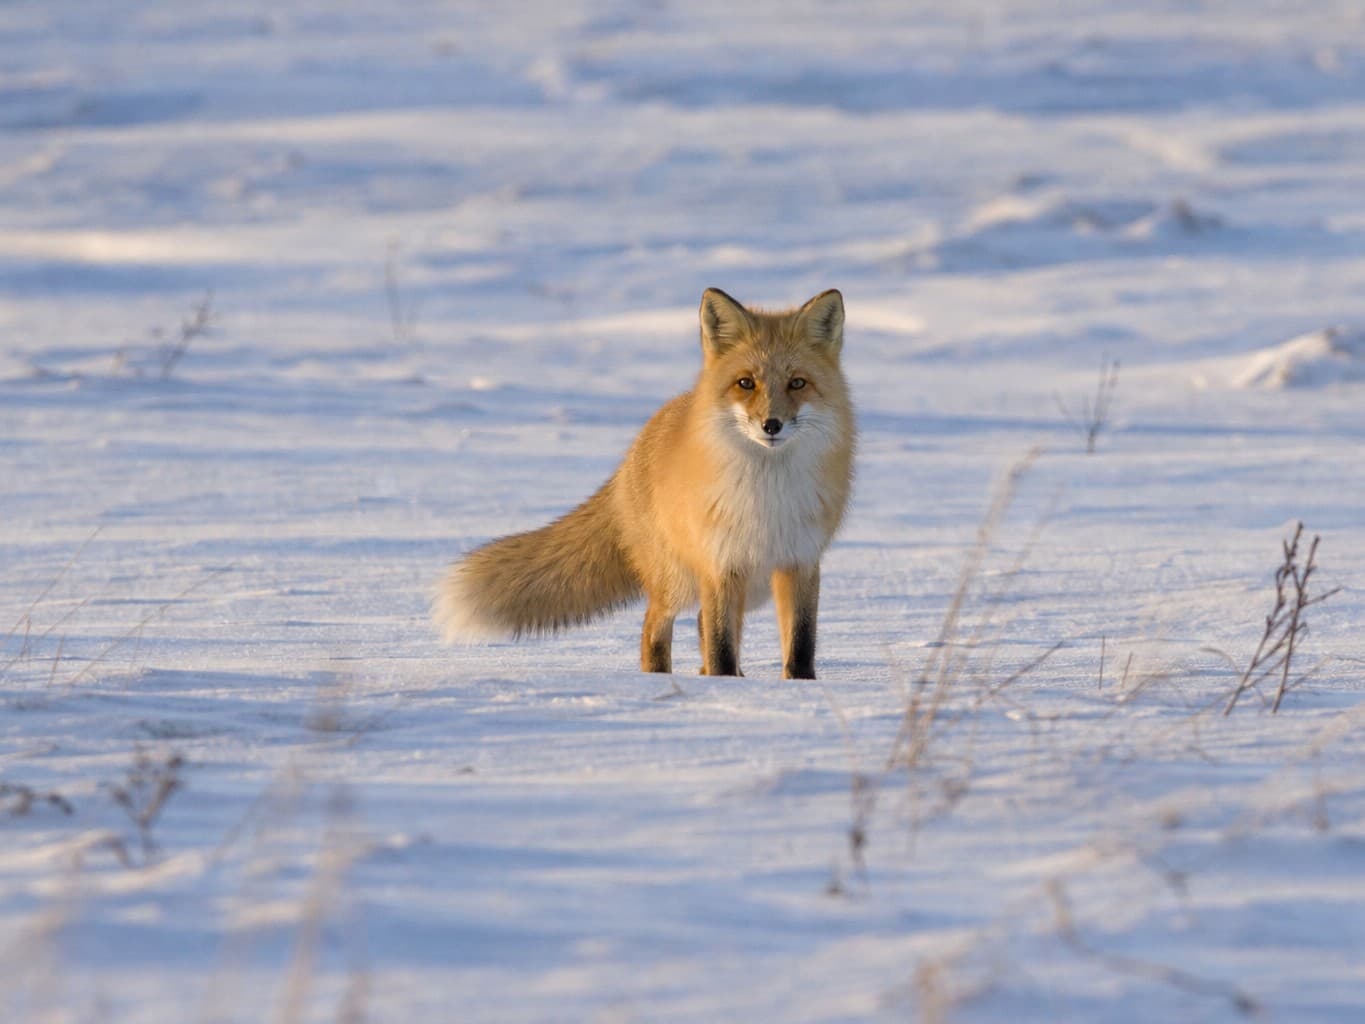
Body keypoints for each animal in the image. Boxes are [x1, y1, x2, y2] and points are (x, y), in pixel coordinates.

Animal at [433, 287, 856, 679]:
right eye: (745, 383)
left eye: (797, 383)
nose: (772, 425)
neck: (768, 496)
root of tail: (635, 447)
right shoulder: (720, 564)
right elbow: (720, 644)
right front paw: (724, 687)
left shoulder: (800, 561)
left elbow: (799, 643)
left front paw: (797, 689)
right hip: (680, 580)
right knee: (655, 626)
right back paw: (658, 678)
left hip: (752, 588)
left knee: (700, 623)